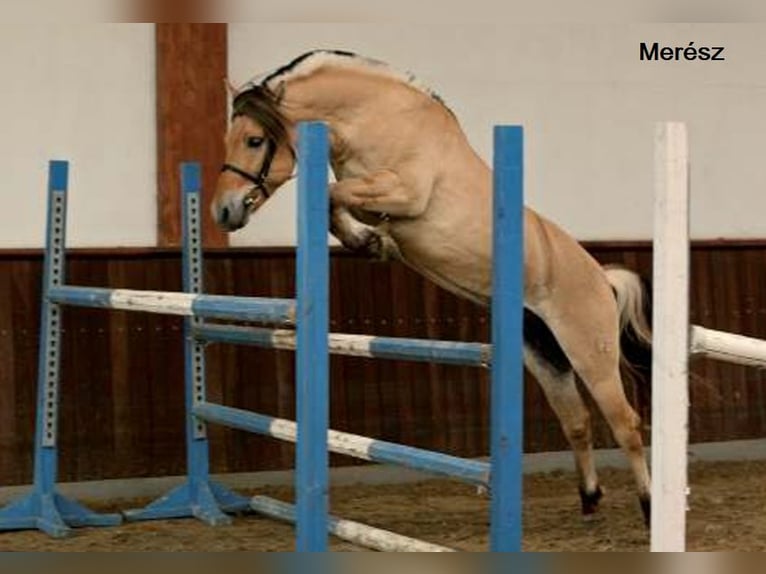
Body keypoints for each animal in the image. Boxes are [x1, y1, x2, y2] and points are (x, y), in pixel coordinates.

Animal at [210, 49, 656, 528]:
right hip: (545, 356)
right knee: (577, 421)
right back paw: (590, 499)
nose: (224, 211)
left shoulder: (403, 193)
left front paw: (371, 242)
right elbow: (335, 201)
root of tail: (601, 279)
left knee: (626, 424)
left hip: (590, 353)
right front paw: (370, 243)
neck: (376, 117)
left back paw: (650, 508)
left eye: (254, 140)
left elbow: (333, 194)